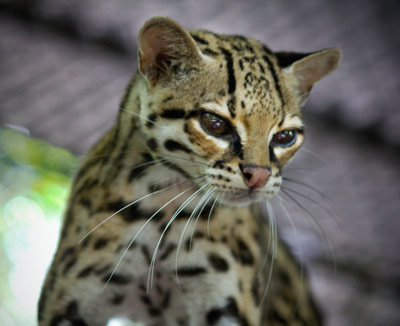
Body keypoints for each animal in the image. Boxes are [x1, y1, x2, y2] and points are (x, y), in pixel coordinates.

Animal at [38, 15, 340, 326]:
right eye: (215, 123)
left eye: (285, 137)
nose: (259, 176)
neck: (164, 212)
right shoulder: (71, 301)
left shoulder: (228, 305)